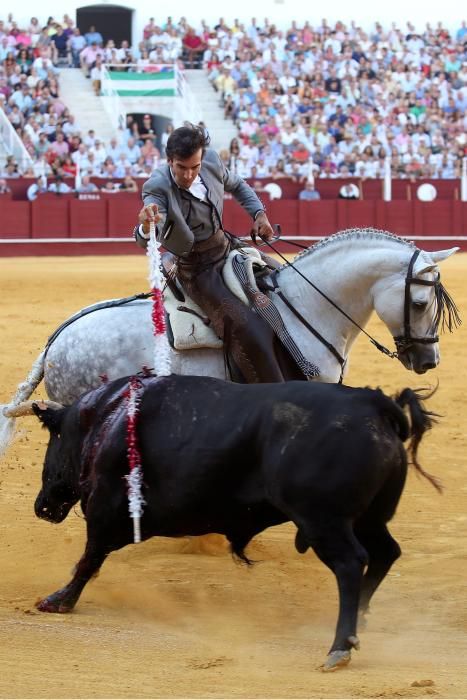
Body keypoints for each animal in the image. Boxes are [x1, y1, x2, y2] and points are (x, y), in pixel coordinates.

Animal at [32, 374, 438, 668]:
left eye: (53, 438)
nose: (42, 506)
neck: (107, 417)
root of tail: (373, 404)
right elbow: (92, 558)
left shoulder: (104, 509)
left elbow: (89, 558)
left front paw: (58, 600)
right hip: (370, 519)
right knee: (385, 553)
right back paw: (360, 622)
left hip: (325, 521)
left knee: (351, 563)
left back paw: (339, 647)